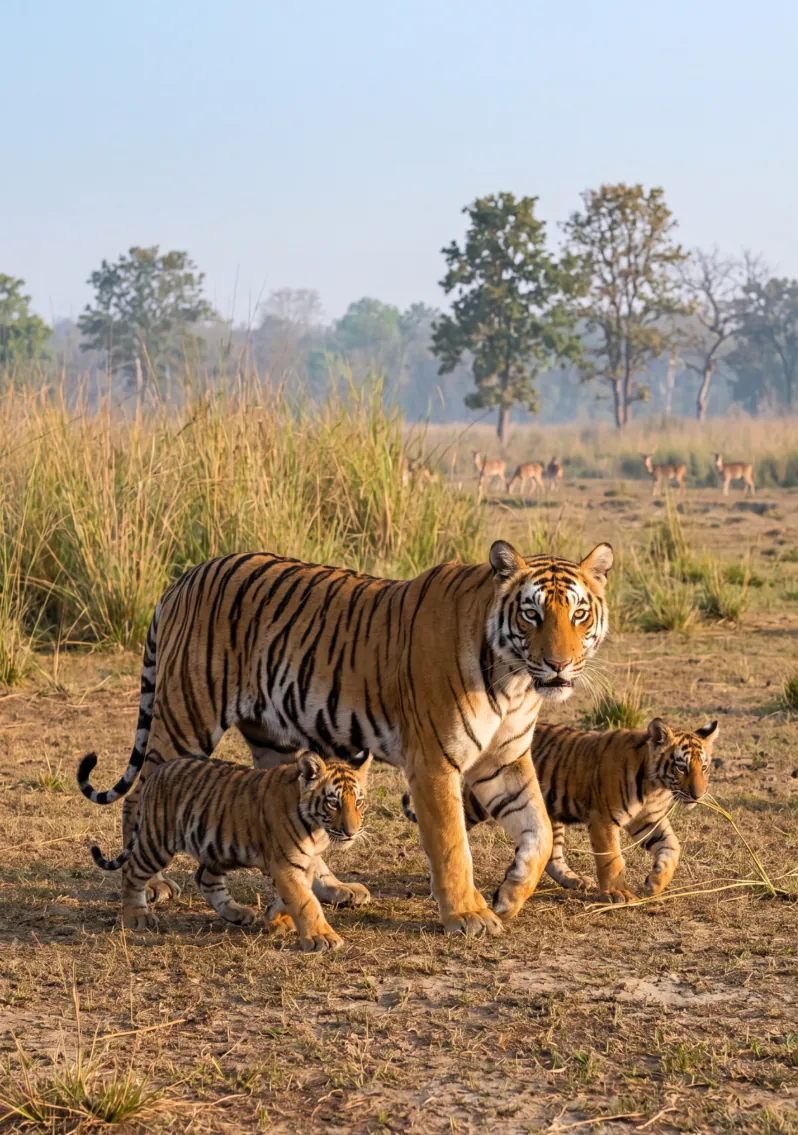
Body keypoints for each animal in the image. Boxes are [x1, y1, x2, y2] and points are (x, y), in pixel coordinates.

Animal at [83, 748, 371, 950]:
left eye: (358, 802)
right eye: (333, 803)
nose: (351, 832)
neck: (317, 828)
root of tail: (157, 770)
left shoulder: (305, 863)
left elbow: (297, 895)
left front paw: (275, 919)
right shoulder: (285, 864)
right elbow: (305, 901)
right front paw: (322, 937)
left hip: (217, 848)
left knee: (205, 879)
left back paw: (238, 913)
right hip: (158, 842)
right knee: (133, 871)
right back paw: (137, 917)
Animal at [403, 716, 718, 903]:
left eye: (703, 767)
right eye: (681, 767)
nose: (698, 794)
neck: (656, 787)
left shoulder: (648, 820)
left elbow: (672, 846)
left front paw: (656, 882)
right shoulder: (604, 819)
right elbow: (612, 859)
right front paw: (618, 893)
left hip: (549, 812)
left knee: (552, 854)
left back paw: (573, 880)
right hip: (478, 803)